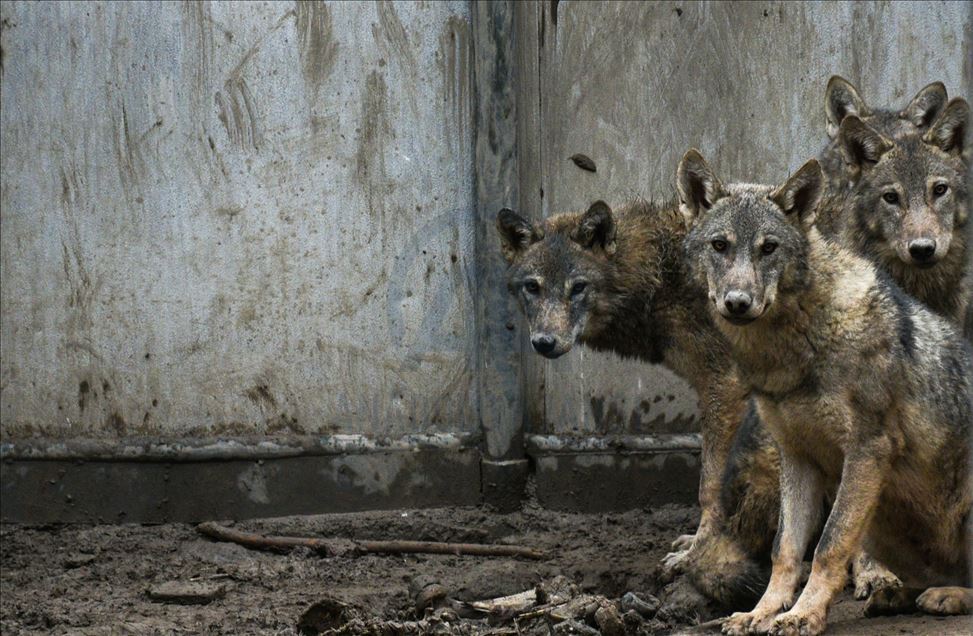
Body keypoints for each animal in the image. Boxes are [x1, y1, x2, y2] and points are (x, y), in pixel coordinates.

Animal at [676, 150, 972, 636]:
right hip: (881, 521)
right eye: (719, 246)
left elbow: (828, 548)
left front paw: (802, 615)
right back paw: (899, 595)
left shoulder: (867, 451)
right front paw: (761, 612)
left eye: (769, 248)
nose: (737, 302)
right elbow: (785, 550)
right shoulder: (798, 458)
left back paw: (943, 596)